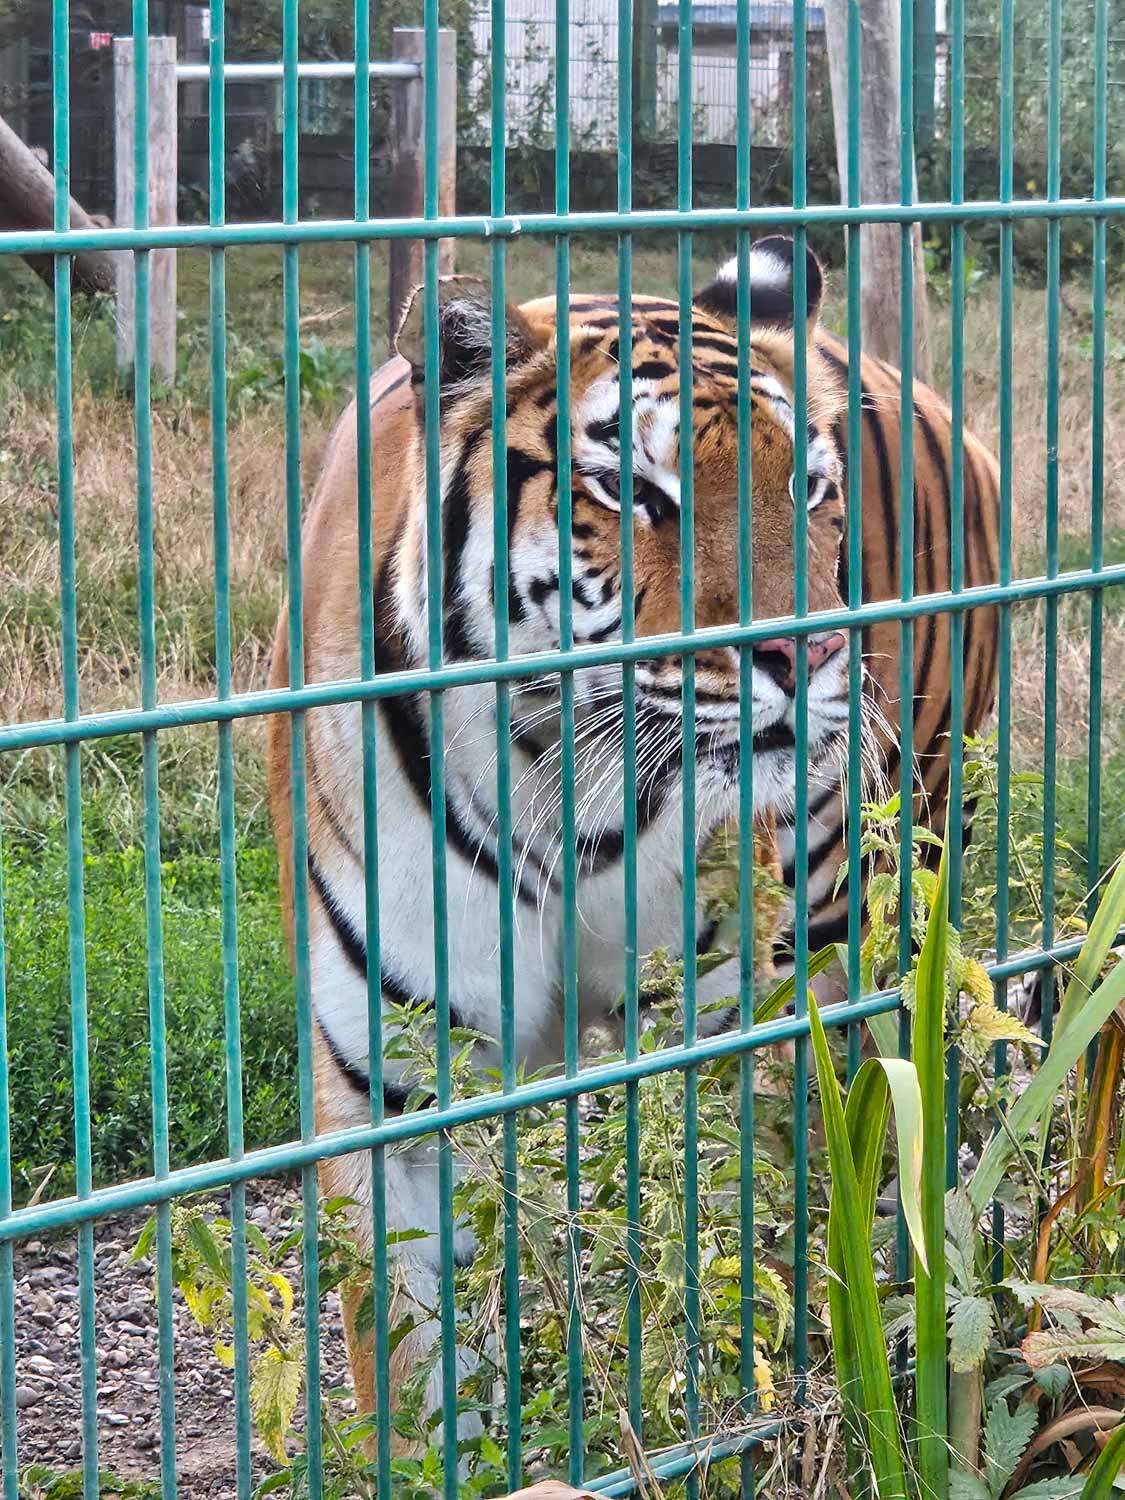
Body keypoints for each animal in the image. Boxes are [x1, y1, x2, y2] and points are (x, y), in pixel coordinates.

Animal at [266, 235, 1000, 1449]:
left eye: (808, 488)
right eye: (633, 492)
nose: (806, 649)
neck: (550, 782)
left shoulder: (718, 1040)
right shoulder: (390, 1091)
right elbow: (412, 1372)